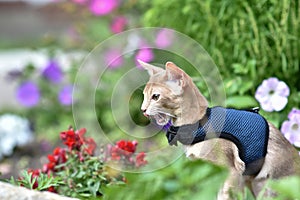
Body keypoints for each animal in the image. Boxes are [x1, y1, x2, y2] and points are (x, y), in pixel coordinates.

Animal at [139, 59, 300, 200]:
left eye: (156, 97)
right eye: (144, 96)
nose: (143, 109)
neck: (200, 124)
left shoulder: (232, 173)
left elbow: (226, 196)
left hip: (270, 186)